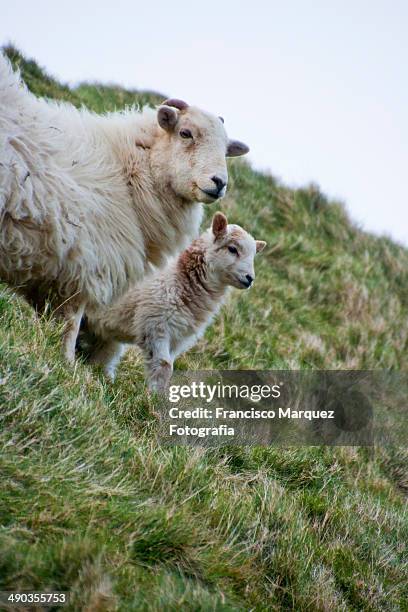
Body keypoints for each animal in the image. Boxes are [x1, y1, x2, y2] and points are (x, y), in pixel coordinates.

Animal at [0, 53, 249, 364]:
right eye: (185, 133)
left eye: (226, 149)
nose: (219, 182)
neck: (127, 171)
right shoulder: (85, 267)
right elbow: (70, 326)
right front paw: (66, 365)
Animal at [87, 213, 266, 390]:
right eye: (232, 249)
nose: (250, 279)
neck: (180, 277)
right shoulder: (156, 327)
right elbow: (164, 365)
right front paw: (155, 396)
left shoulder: (178, 338)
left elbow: (169, 366)